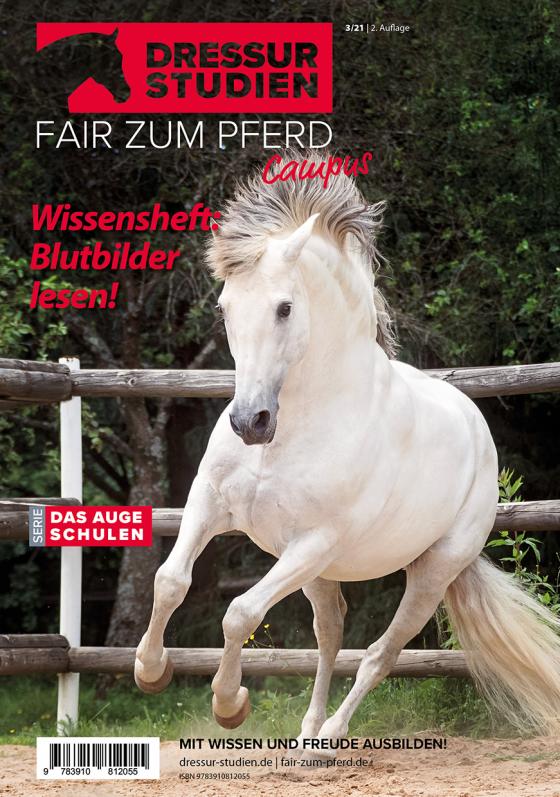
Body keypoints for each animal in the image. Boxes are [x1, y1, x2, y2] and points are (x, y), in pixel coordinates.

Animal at [135, 155, 560, 753]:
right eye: (223, 307)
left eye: (285, 307)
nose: (249, 422)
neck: (291, 431)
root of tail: (476, 426)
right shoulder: (212, 503)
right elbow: (170, 581)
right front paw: (151, 671)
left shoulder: (315, 542)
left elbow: (239, 613)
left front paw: (230, 704)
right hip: (321, 573)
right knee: (331, 635)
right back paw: (307, 732)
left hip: (429, 571)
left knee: (379, 654)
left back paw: (330, 736)